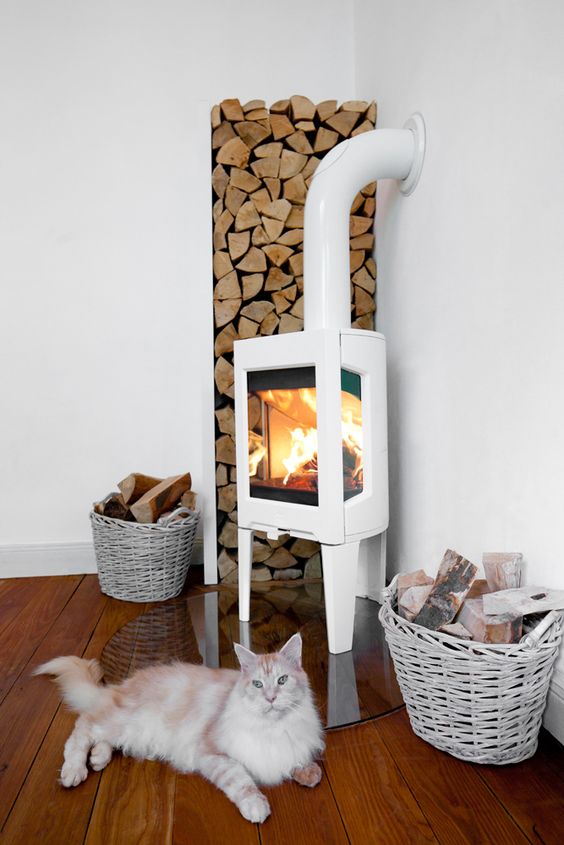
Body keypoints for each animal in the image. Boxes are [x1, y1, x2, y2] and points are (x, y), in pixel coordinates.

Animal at [35, 632, 324, 816]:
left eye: (282, 680)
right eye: (257, 684)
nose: (271, 698)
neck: (271, 728)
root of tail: (120, 687)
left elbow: (299, 761)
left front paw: (308, 773)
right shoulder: (211, 753)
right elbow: (242, 781)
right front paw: (257, 807)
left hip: (127, 730)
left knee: (102, 738)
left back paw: (98, 758)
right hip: (120, 721)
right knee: (83, 728)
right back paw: (74, 771)